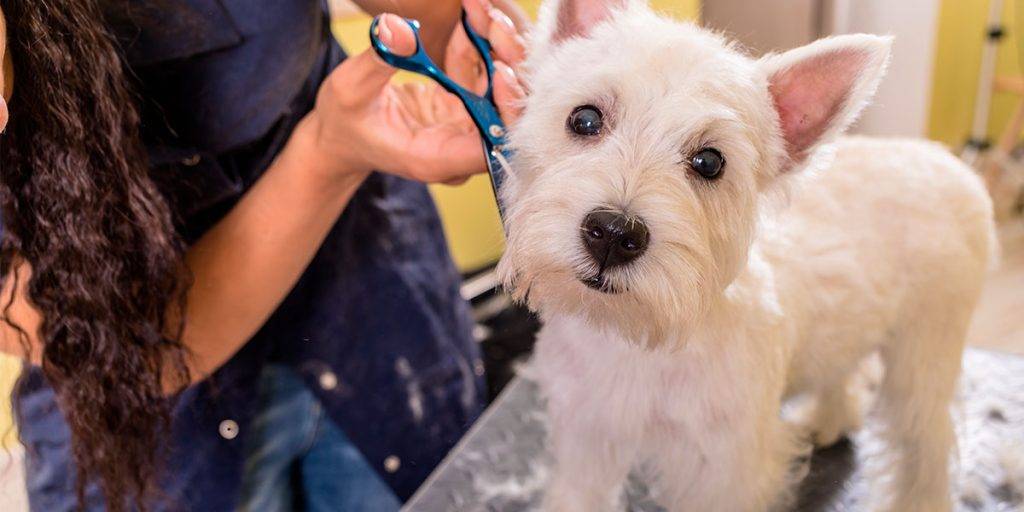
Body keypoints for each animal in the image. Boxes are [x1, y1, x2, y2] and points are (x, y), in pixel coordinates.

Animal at [495, 2, 999, 509]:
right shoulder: (586, 438)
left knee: (926, 444)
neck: (635, 335)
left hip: (924, 354)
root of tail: (952, 164)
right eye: (584, 119)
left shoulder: (725, 470)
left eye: (709, 162)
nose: (614, 235)